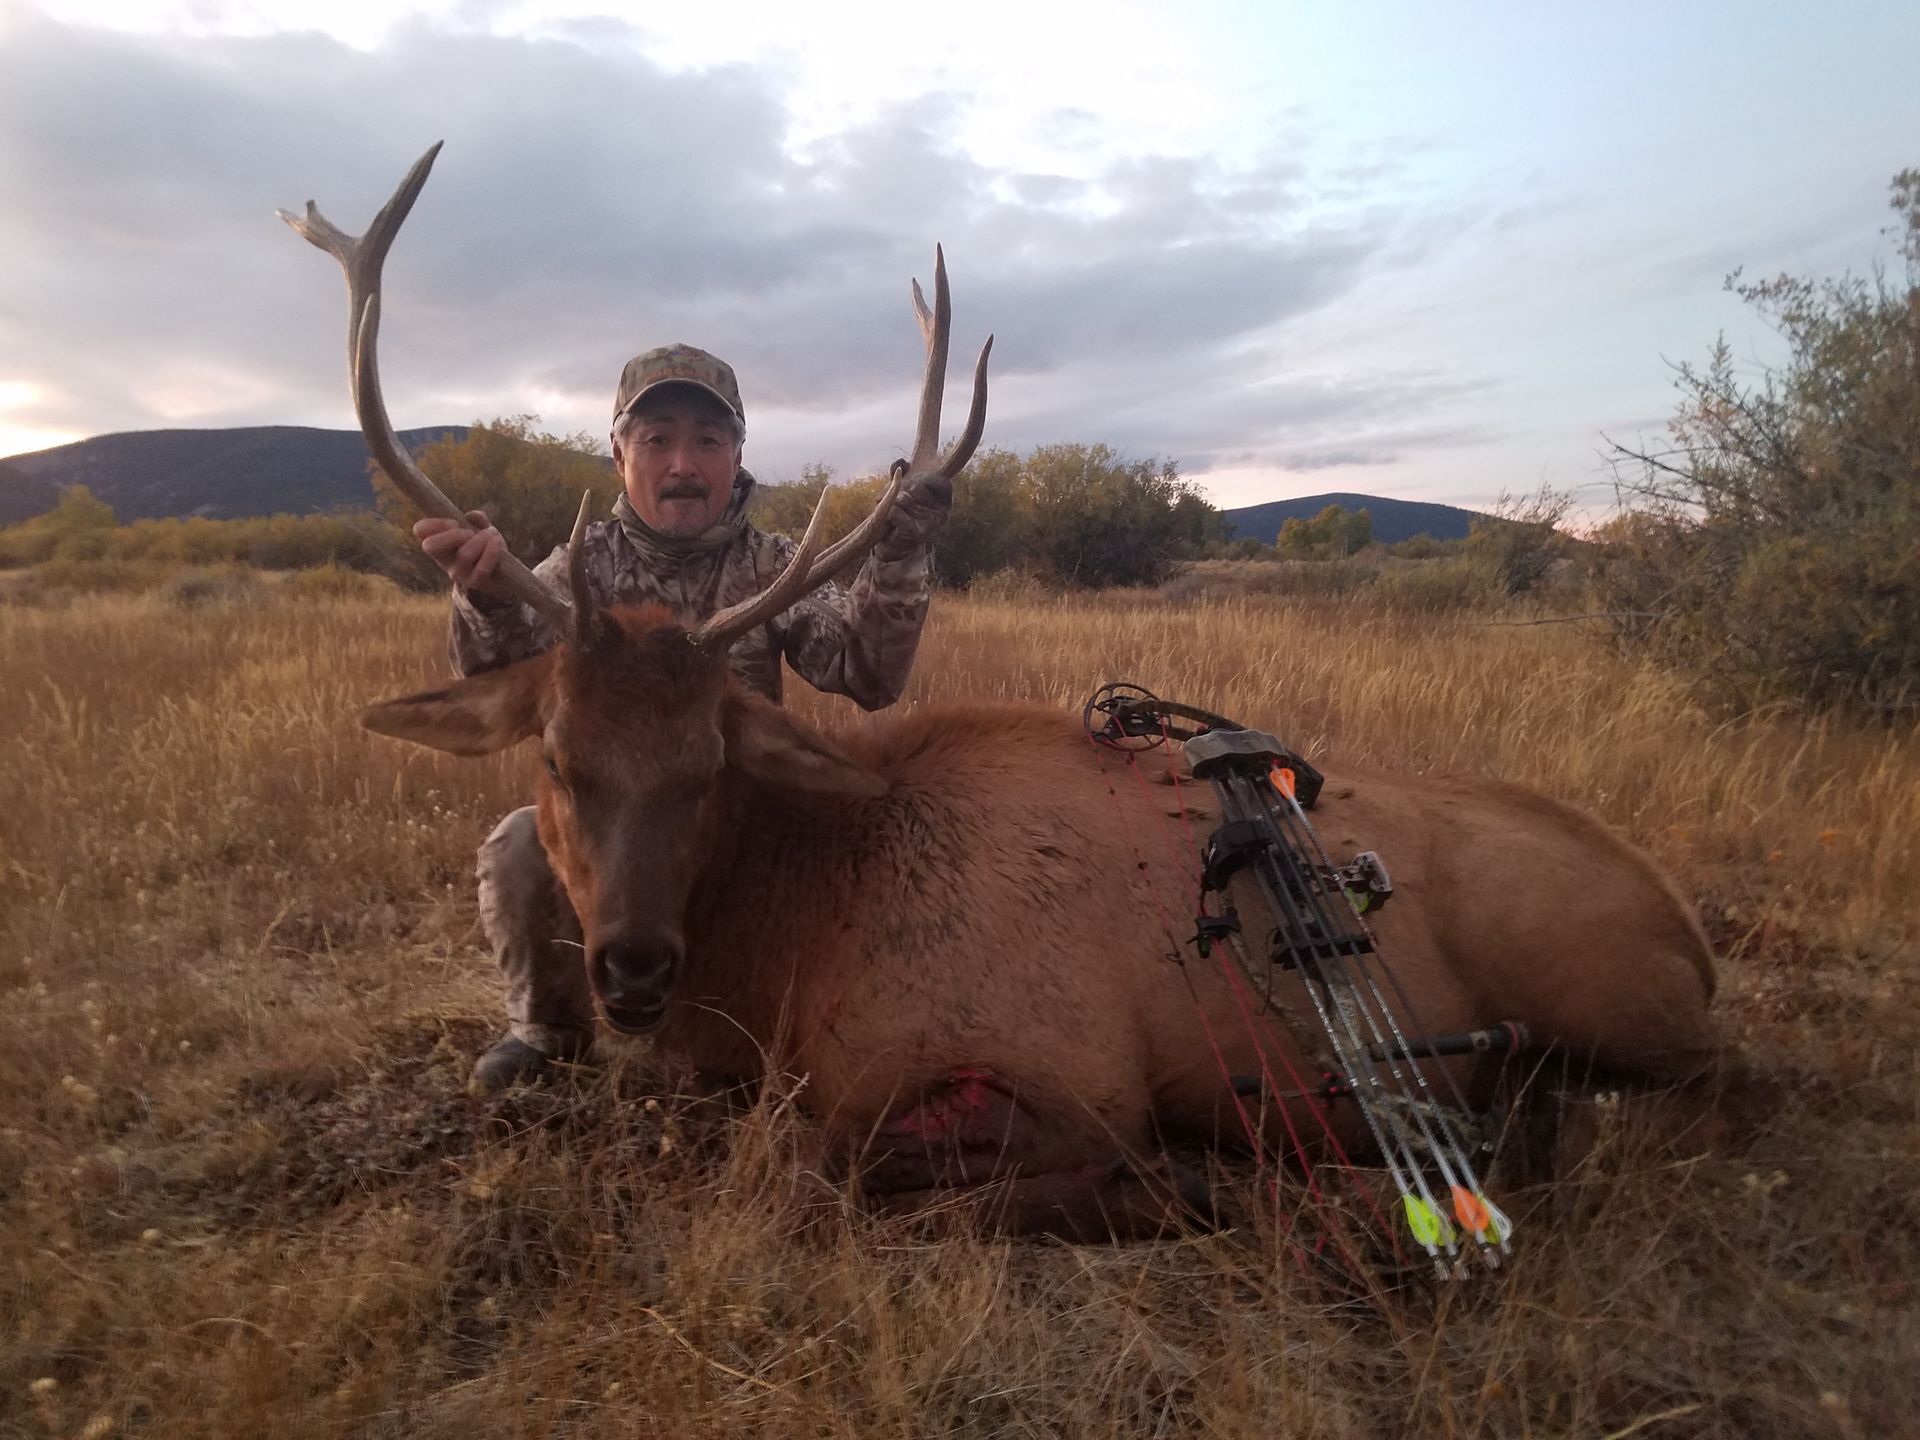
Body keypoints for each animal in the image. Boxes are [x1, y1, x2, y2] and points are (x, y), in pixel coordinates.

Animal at [285, 148, 1718, 1239]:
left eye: (712, 763)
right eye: (554, 756)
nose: (633, 967)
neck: (792, 952)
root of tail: (1690, 935)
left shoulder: (1060, 1068)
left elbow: (832, 1161)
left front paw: (1186, 1179)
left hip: (1600, 990)